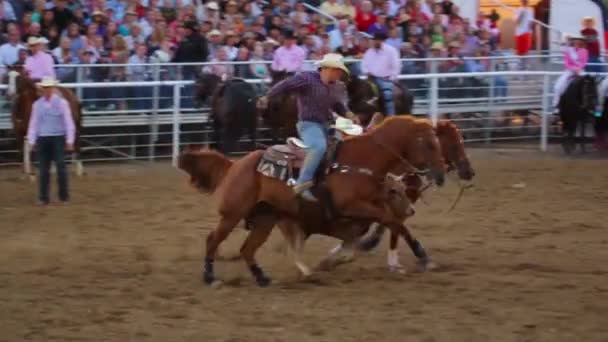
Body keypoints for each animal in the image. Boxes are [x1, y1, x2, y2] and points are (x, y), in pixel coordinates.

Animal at [178, 115, 444, 286]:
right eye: (430, 144)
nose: (441, 175)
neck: (362, 161)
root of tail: (234, 164)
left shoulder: (368, 209)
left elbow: (391, 224)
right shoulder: (351, 206)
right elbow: (392, 221)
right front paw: (422, 256)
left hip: (265, 218)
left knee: (248, 249)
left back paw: (263, 278)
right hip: (232, 214)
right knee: (213, 239)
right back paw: (210, 277)